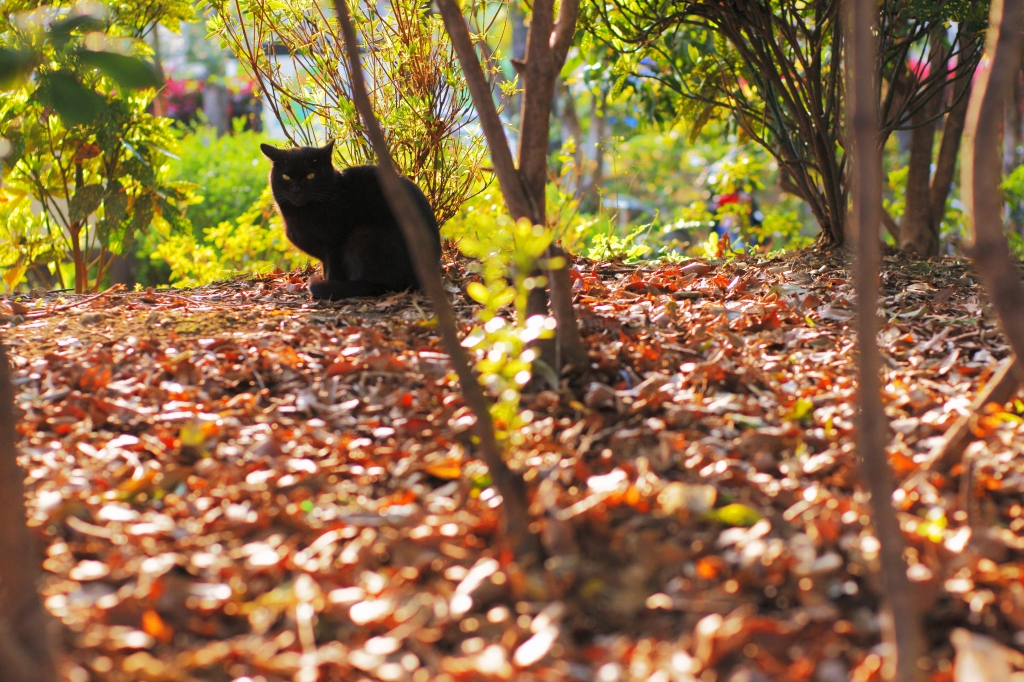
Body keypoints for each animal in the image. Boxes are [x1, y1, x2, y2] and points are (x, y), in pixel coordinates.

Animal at [258, 140, 438, 296]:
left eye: (310, 175)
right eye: (286, 176)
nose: (296, 190)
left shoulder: (335, 245)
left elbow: (334, 271)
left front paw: (329, 286)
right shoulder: (325, 256)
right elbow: (326, 269)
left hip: (364, 235)